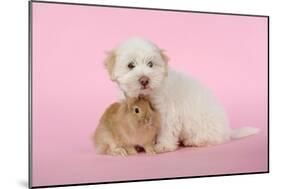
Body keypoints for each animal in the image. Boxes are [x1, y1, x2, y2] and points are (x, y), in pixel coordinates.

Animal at [103, 37, 258, 153]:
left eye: (150, 64)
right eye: (130, 65)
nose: (144, 80)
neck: (146, 94)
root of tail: (227, 130)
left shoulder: (166, 112)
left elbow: (165, 129)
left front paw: (163, 146)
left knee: (210, 138)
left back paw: (193, 141)